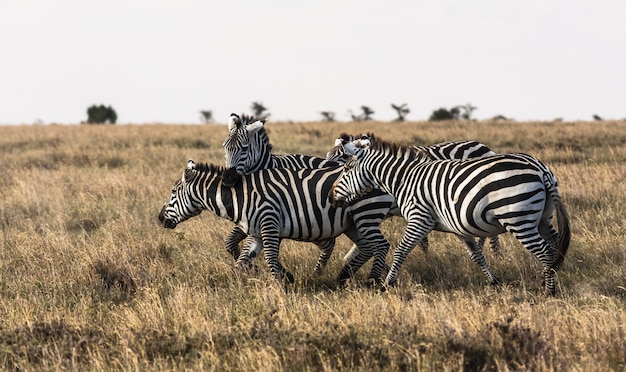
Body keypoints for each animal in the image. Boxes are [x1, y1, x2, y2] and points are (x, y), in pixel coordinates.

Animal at [157, 158, 386, 284]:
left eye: (173, 192)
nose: (159, 219)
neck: (241, 197)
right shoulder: (256, 231)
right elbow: (243, 261)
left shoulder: (269, 222)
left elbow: (269, 258)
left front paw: (280, 287)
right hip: (353, 223)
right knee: (367, 247)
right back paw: (344, 277)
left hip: (366, 212)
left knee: (380, 245)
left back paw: (374, 281)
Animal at [222, 113, 392, 282]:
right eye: (225, 147)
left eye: (244, 148)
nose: (228, 178)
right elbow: (230, 243)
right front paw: (252, 267)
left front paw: (281, 274)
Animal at [326, 134, 572, 296]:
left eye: (346, 168)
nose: (330, 196)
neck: (404, 179)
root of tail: (540, 168)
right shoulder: (458, 226)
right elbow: (476, 255)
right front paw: (494, 281)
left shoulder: (419, 218)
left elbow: (401, 250)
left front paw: (387, 284)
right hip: (541, 217)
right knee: (555, 245)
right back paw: (547, 281)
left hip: (519, 219)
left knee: (545, 251)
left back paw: (548, 292)